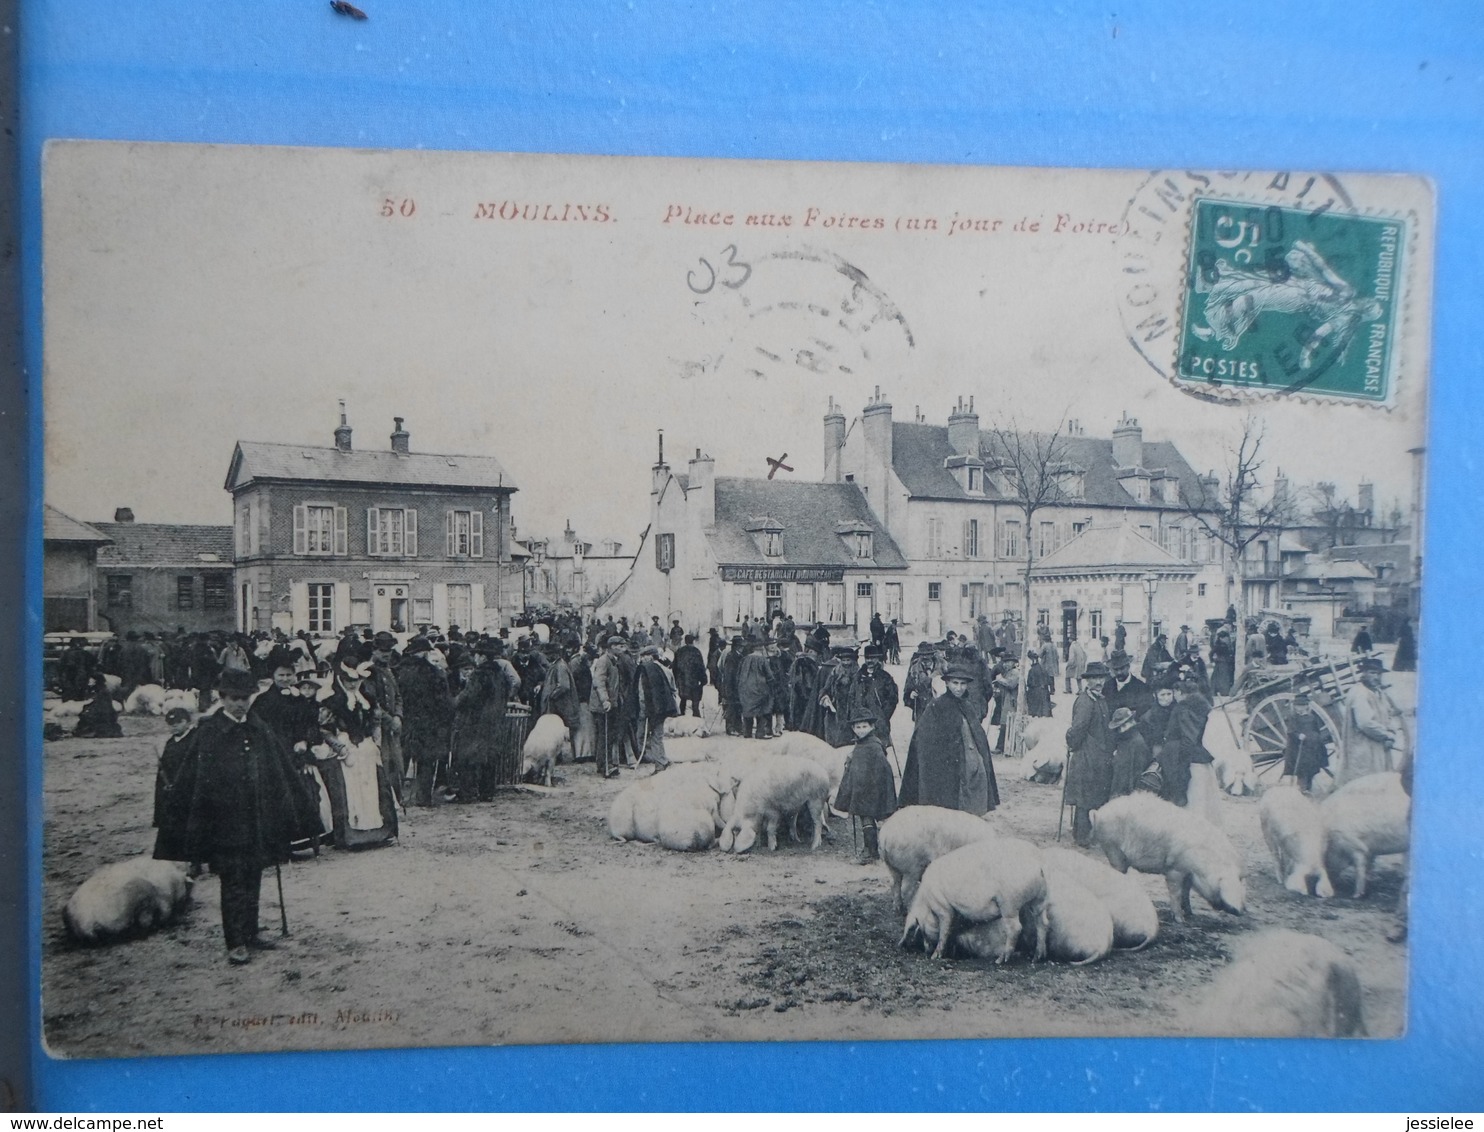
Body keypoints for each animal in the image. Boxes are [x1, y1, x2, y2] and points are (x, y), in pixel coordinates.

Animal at [872, 807, 1003, 913]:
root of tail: (885, 835)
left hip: (891, 866)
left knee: (895, 884)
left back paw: (897, 909)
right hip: (911, 867)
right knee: (906, 890)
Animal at [896, 836, 1050, 961]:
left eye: (921, 930)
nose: (926, 951)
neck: (926, 902)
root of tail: (1039, 863)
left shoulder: (943, 906)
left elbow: (944, 929)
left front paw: (935, 956)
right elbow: (952, 930)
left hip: (1009, 903)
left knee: (1016, 928)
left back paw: (1000, 960)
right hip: (1040, 898)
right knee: (1042, 922)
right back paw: (1037, 957)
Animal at [1086, 795, 1246, 925]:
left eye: (1240, 881)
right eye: (1222, 883)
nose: (1239, 911)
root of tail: (1098, 813)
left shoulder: (1188, 873)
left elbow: (1186, 892)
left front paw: (1190, 913)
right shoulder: (1175, 869)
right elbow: (1176, 893)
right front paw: (1180, 920)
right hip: (1113, 848)